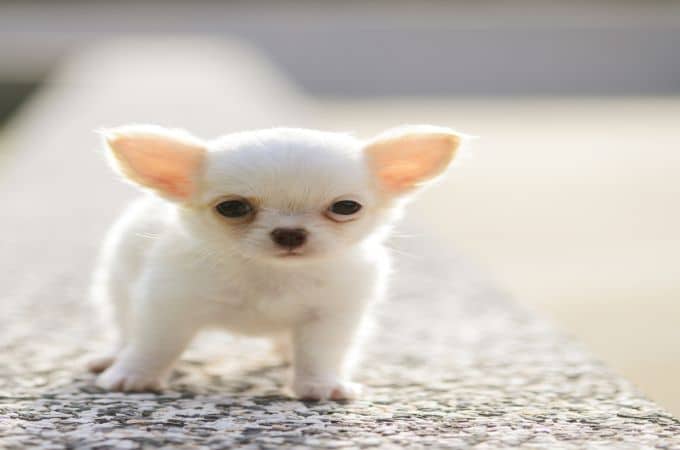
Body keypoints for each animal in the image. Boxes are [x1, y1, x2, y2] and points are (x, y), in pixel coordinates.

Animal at [89, 124, 462, 400]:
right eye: (232, 208)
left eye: (346, 207)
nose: (290, 233)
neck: (272, 274)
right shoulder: (168, 306)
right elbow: (154, 344)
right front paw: (134, 375)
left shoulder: (331, 315)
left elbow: (318, 353)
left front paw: (320, 386)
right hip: (118, 287)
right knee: (124, 327)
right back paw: (112, 357)